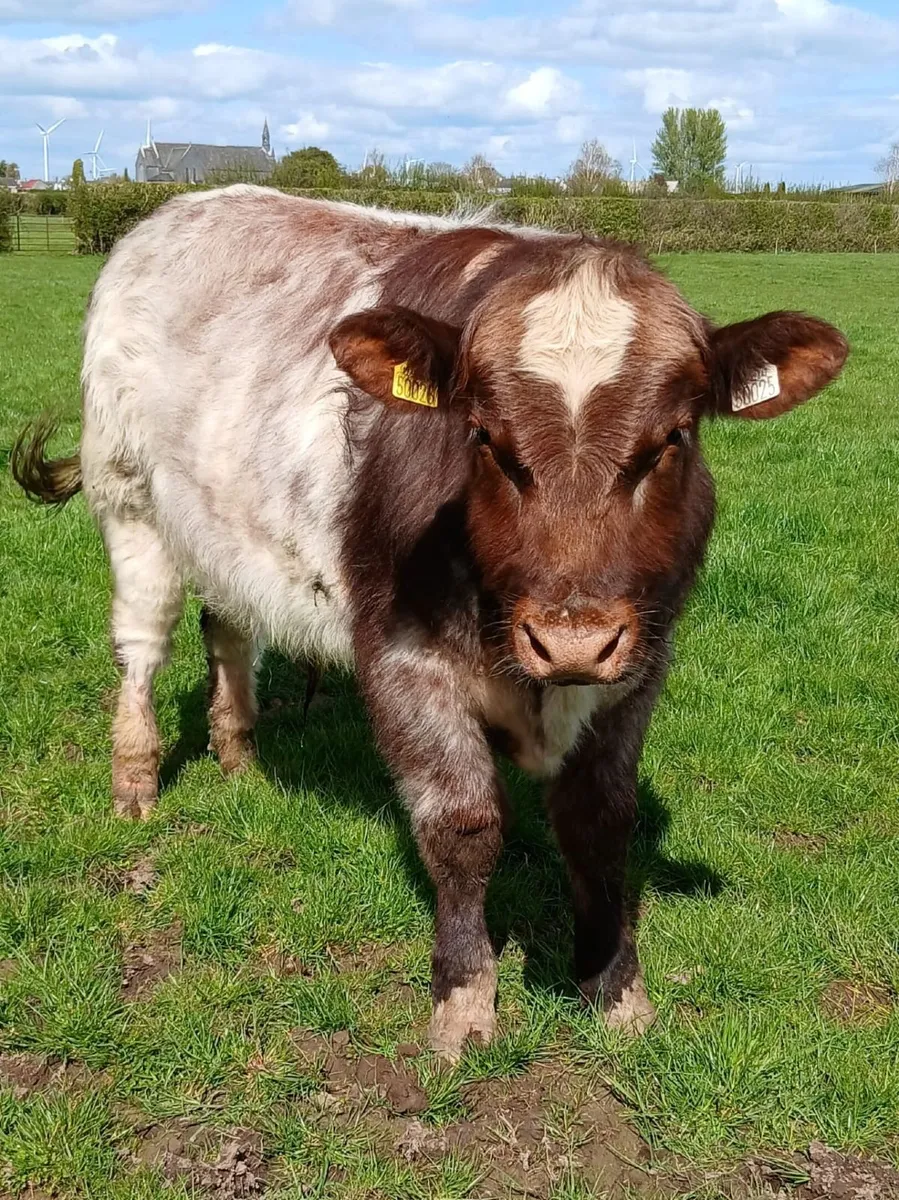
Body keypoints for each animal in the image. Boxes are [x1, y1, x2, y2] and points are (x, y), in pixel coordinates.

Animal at [13, 185, 848, 1060]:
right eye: (483, 437)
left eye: (671, 438)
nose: (571, 641)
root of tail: (183, 208)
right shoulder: (403, 658)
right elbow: (462, 825)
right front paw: (464, 995)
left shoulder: (639, 664)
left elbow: (598, 821)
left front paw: (615, 987)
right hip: (129, 501)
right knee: (141, 647)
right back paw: (135, 780)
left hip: (222, 531)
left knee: (230, 630)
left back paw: (238, 753)